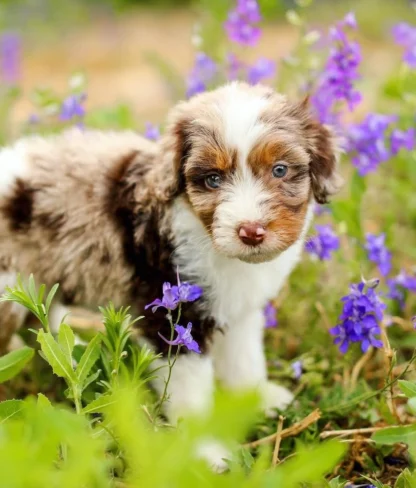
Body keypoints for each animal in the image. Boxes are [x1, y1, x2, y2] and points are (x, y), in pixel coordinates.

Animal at [0, 82, 342, 470]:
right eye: (212, 179)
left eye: (280, 170)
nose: (251, 231)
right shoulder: (171, 316)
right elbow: (192, 393)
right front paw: (207, 451)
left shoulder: (238, 308)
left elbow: (245, 359)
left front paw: (257, 398)